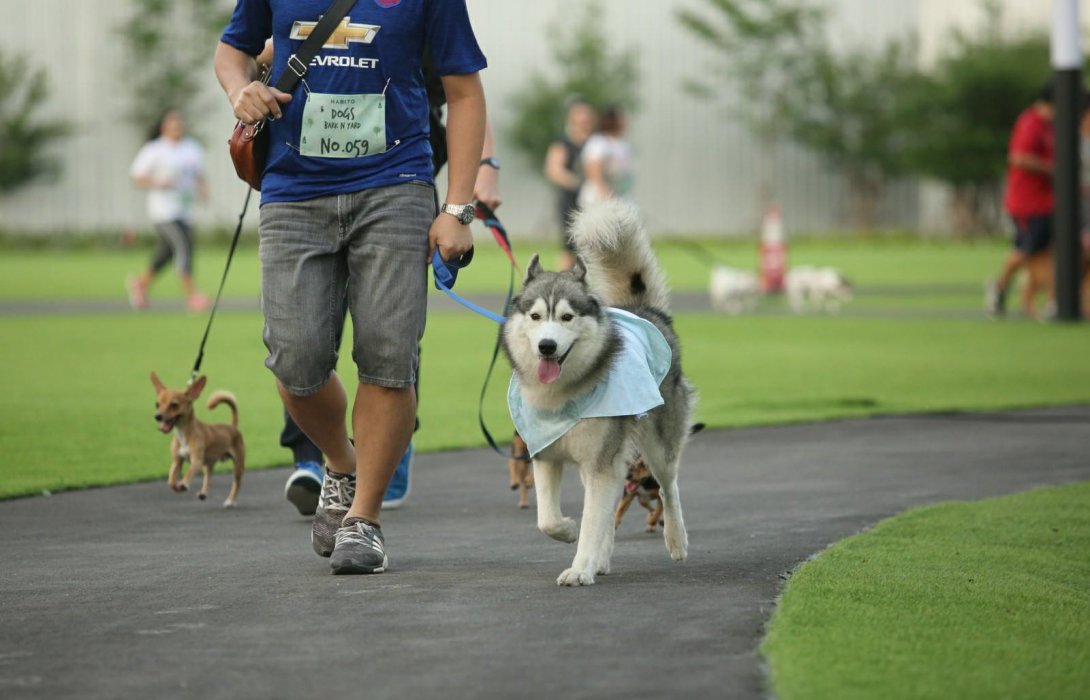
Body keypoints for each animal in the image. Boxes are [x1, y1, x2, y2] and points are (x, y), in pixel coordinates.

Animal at [150, 370, 246, 505]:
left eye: (174, 405)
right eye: (157, 405)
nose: (158, 416)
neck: (183, 434)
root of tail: (232, 427)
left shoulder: (196, 461)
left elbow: (189, 472)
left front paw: (184, 483)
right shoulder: (177, 461)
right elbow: (171, 480)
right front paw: (177, 486)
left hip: (237, 465)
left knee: (237, 482)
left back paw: (230, 500)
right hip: (208, 463)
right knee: (208, 475)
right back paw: (203, 492)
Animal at [503, 197, 697, 584]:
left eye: (566, 317)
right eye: (535, 316)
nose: (546, 346)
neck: (561, 397)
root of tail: (644, 311)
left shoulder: (600, 463)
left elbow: (593, 520)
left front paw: (580, 568)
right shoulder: (546, 456)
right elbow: (548, 520)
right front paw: (568, 531)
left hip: (657, 447)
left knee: (668, 487)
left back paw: (675, 540)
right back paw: (602, 558)